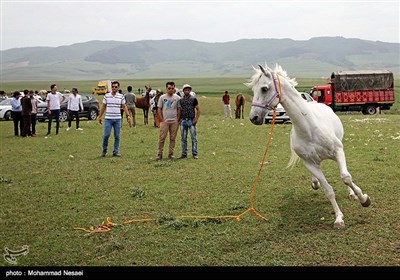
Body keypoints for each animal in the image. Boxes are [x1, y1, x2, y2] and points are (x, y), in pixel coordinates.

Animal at [247, 64, 372, 229]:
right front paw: (339, 218)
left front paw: (363, 199)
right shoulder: (310, 163)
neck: (310, 129)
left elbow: (346, 177)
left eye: (264, 88)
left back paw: (351, 194)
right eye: (253, 90)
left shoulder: (338, 151)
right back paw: (315, 182)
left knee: (345, 174)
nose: (253, 117)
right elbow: (328, 190)